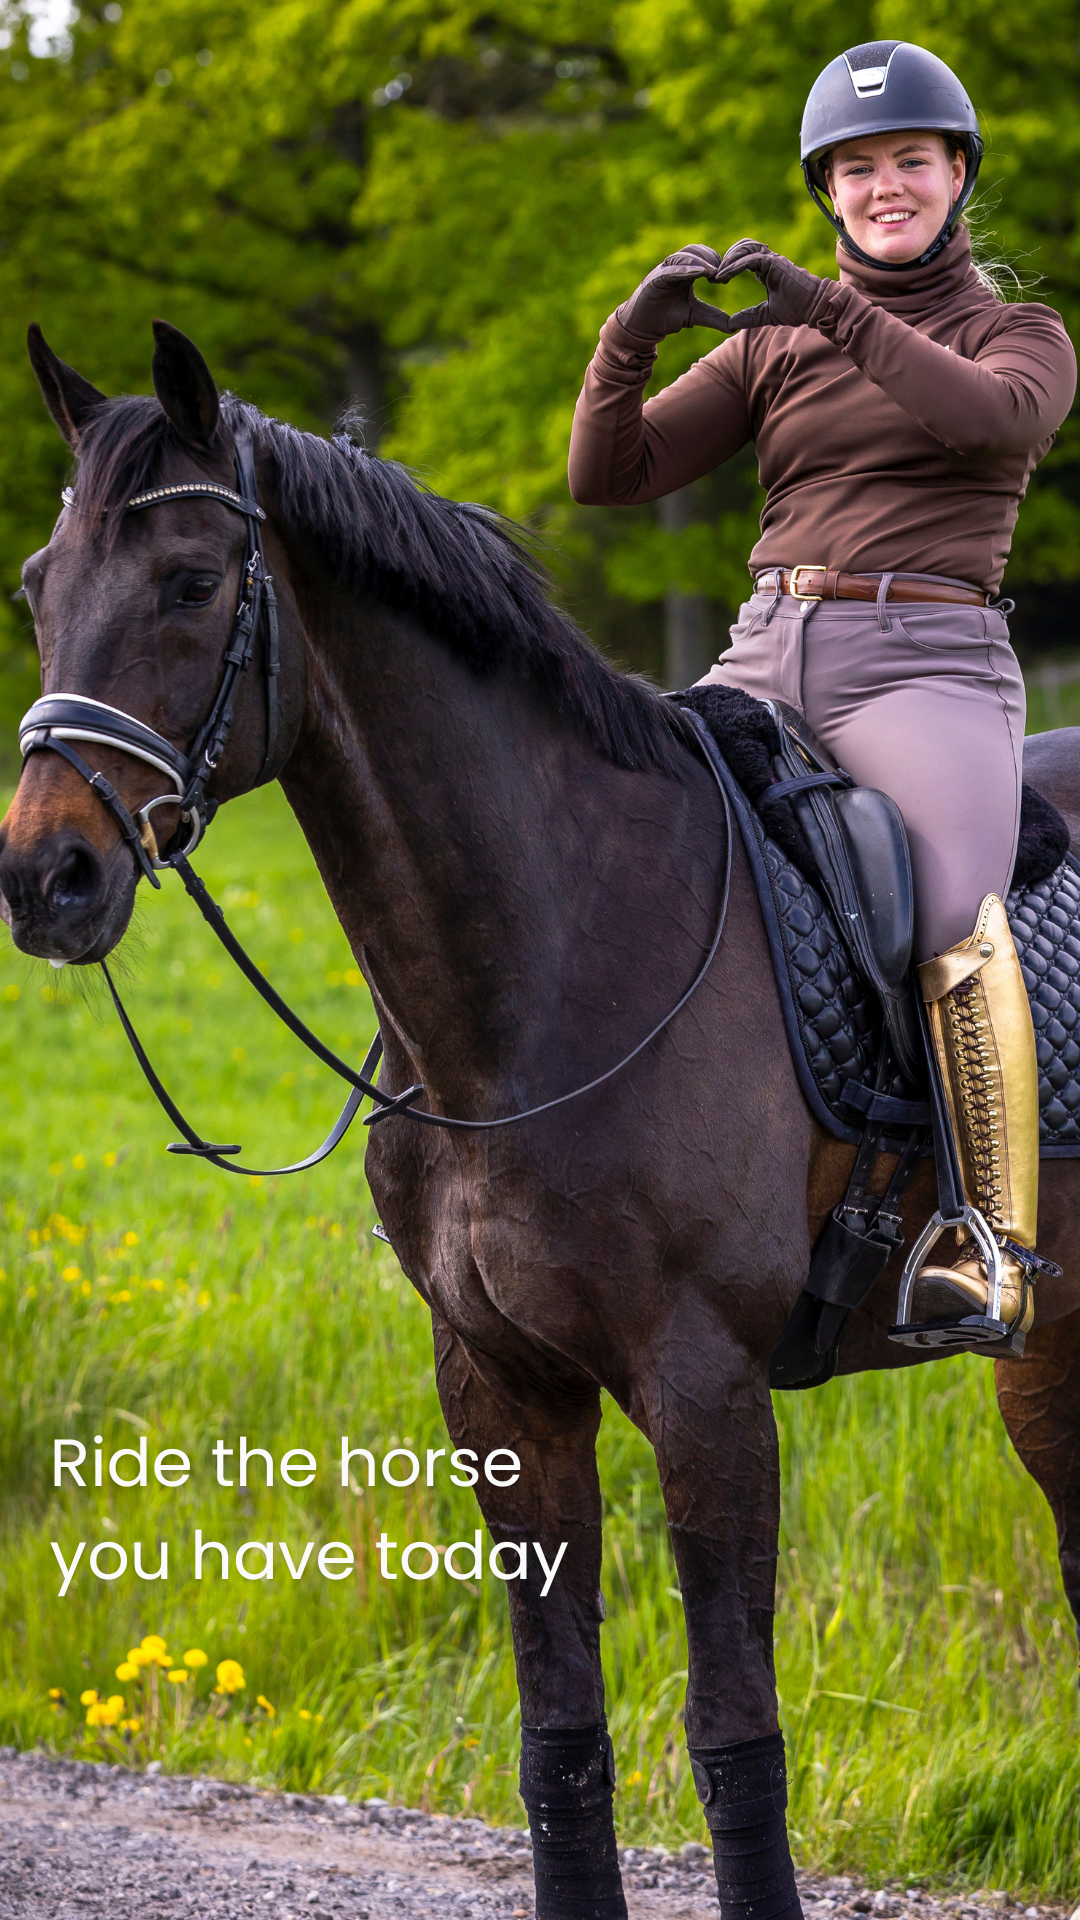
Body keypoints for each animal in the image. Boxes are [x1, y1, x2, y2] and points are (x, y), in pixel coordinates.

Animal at [3, 321, 1078, 1920]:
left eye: (193, 583)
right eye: (37, 587)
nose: (45, 879)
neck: (547, 973)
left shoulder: (707, 1393)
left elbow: (734, 1736)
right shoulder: (500, 1388)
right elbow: (559, 1740)